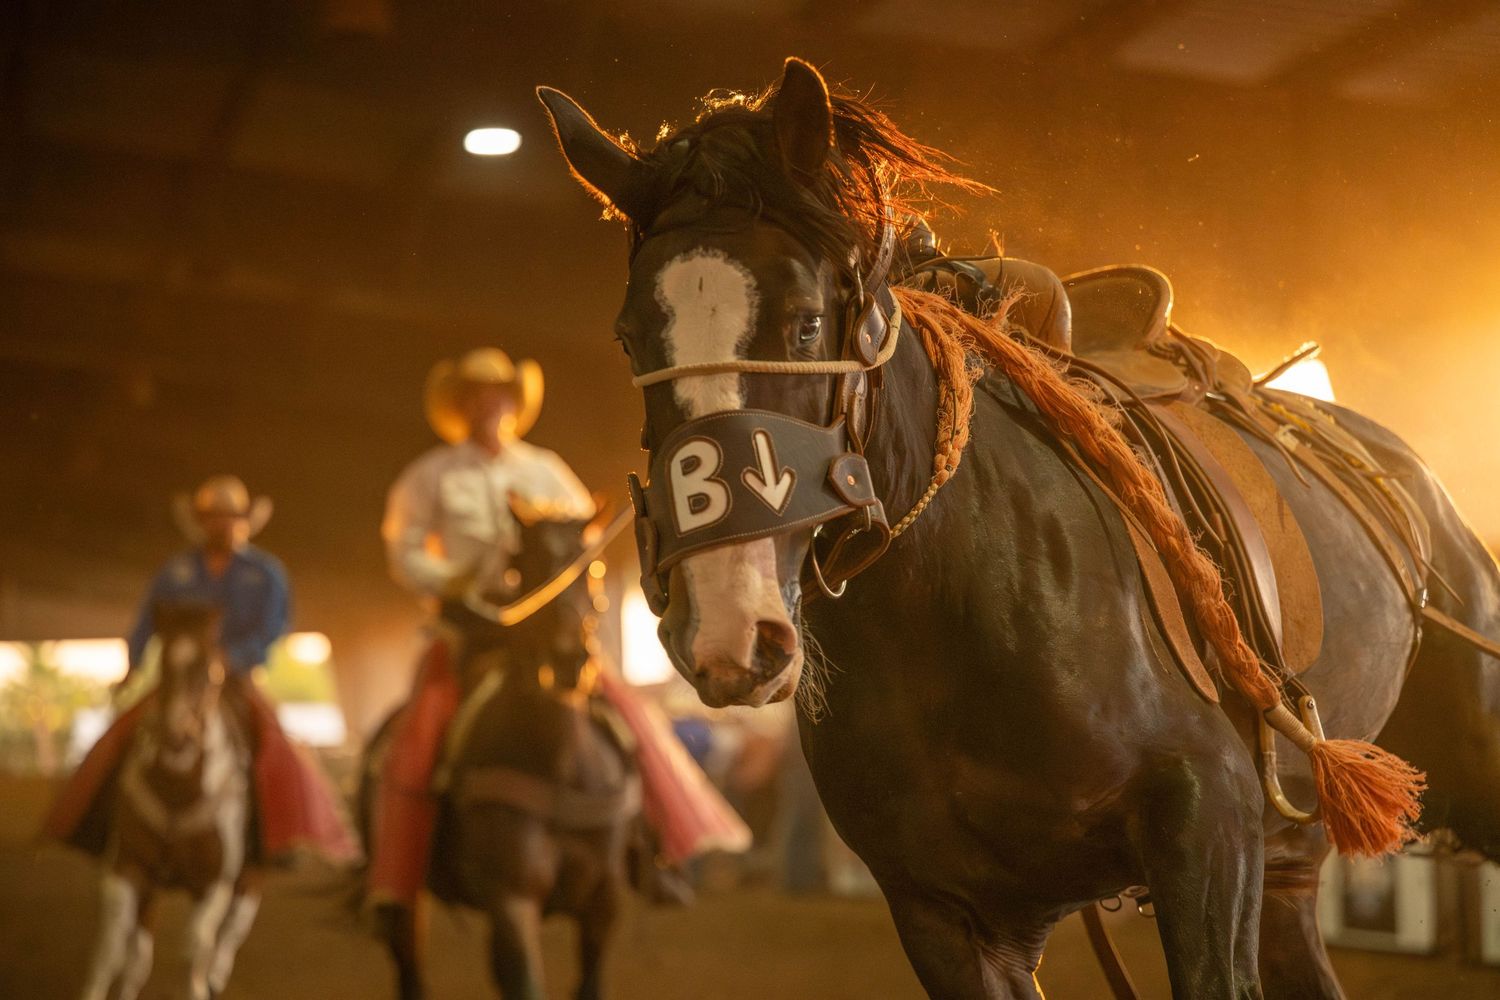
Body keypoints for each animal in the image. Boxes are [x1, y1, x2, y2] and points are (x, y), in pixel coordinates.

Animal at [79, 601, 260, 1000]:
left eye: (211, 669)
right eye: (162, 663)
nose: (177, 738)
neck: (177, 791)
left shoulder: (214, 884)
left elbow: (195, 951)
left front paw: (203, 980)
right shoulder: (128, 868)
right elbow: (113, 953)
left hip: (248, 878)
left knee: (232, 930)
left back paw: (217, 975)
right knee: (138, 958)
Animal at [361, 500, 640, 1000]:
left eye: (594, 567)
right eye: (517, 570)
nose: (567, 660)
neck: (560, 766)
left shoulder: (602, 903)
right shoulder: (510, 902)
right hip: (404, 902)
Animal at [537, 58, 1500, 998]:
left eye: (806, 322)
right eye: (631, 339)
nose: (731, 630)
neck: (954, 612)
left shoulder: (1211, 836)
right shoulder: (949, 919)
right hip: (1291, 864)